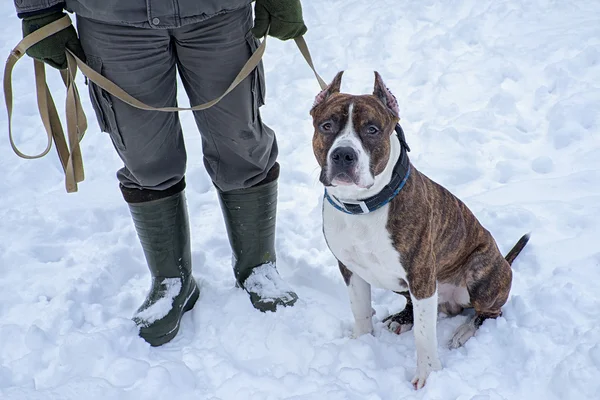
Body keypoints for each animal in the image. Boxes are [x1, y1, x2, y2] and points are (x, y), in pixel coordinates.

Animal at [312, 70, 528, 390]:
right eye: (326, 126)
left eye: (372, 130)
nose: (343, 155)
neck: (363, 206)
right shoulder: (351, 269)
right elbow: (360, 310)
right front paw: (362, 345)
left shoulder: (422, 276)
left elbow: (425, 337)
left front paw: (429, 375)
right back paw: (402, 318)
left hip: (480, 274)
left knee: (489, 312)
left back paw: (462, 332)